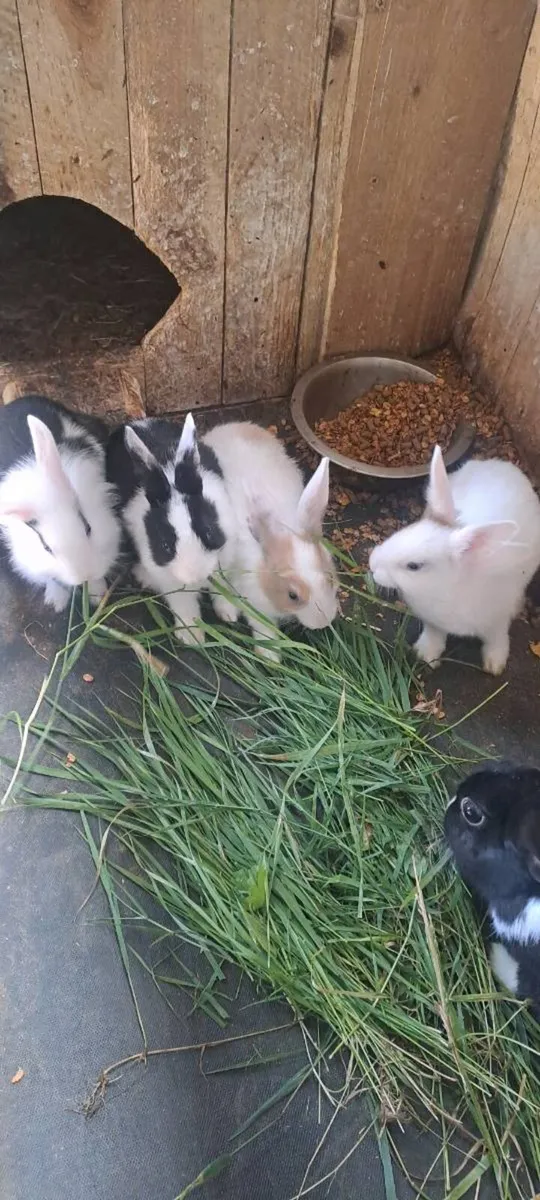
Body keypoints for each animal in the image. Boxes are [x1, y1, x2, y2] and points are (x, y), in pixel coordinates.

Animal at [0, 395, 122, 611]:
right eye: (46, 547)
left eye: (88, 527)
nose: (84, 575)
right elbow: (51, 578)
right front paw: (56, 602)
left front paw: (97, 594)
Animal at [106, 412, 236, 645]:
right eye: (166, 546)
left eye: (209, 532)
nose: (195, 576)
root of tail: (136, 422)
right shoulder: (171, 583)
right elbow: (183, 605)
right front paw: (192, 637)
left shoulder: (224, 561)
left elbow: (221, 589)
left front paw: (229, 614)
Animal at [202, 421, 338, 660]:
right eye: (293, 595)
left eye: (329, 579)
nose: (323, 623)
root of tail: (226, 426)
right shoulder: (255, 602)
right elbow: (262, 626)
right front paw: (270, 656)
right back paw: (227, 613)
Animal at [368, 445, 540, 675]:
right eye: (401, 532)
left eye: (414, 566)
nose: (372, 563)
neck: (446, 590)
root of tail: (505, 465)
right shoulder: (433, 622)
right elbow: (434, 635)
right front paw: (425, 654)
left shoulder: (497, 622)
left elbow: (497, 640)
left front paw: (495, 665)